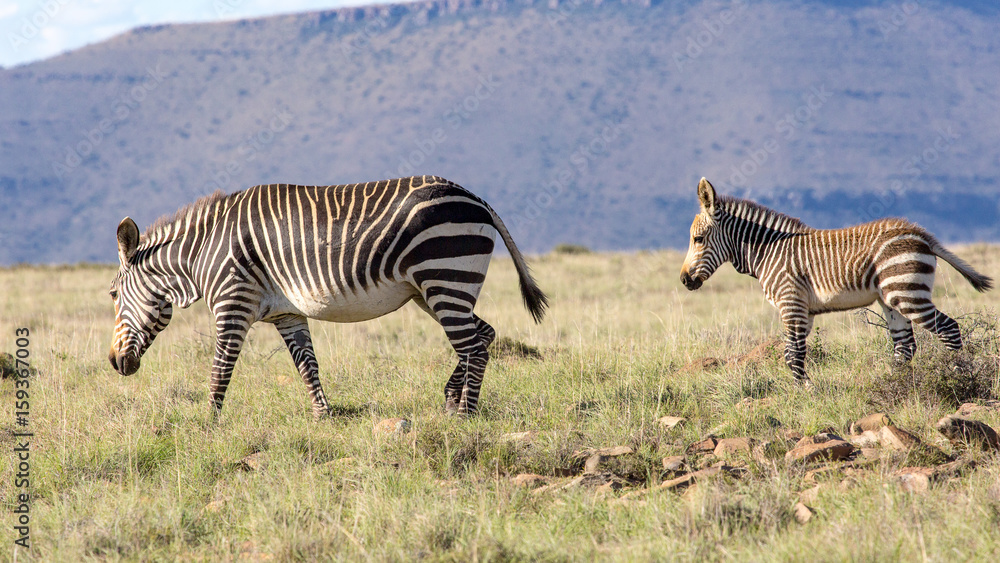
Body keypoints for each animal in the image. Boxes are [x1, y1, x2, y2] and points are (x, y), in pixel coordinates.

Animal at [108, 176, 547, 418]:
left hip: (445, 279)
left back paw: (466, 415)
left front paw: (207, 425)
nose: (113, 363)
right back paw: (451, 401)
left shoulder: (233, 304)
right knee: (483, 335)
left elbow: (220, 371)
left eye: (112, 294)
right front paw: (323, 415)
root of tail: (474, 197)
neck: (203, 251)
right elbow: (307, 365)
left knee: (473, 346)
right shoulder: (287, 314)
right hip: (434, 290)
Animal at [679, 178, 993, 383]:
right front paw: (803, 391)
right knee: (904, 347)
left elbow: (793, 354)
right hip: (891, 299)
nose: (683, 280)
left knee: (949, 329)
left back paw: (958, 376)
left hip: (907, 292)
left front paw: (803, 394)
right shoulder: (803, 310)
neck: (767, 252)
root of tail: (921, 233)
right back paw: (892, 383)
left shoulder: (790, 303)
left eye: (698, 239)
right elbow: (793, 353)